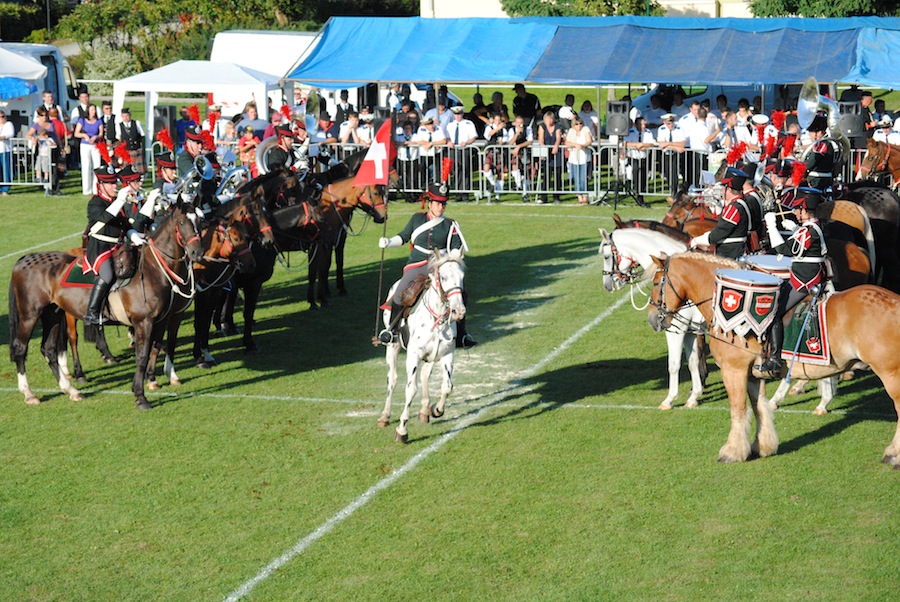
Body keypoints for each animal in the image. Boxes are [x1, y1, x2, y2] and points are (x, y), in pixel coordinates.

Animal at [7, 205, 204, 408]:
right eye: (182, 222)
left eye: (200, 220)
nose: (197, 252)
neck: (153, 270)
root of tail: (25, 258)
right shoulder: (144, 322)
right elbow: (142, 356)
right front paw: (140, 396)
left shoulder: (161, 320)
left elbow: (155, 348)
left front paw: (151, 382)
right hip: (30, 315)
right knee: (20, 348)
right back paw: (29, 393)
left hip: (52, 314)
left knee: (48, 349)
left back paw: (71, 390)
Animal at [376, 248, 468, 440]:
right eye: (443, 277)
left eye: (462, 276)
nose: (459, 311)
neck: (436, 317)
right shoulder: (414, 355)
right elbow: (411, 389)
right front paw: (402, 430)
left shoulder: (447, 354)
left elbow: (447, 386)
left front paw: (437, 409)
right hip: (393, 347)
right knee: (392, 379)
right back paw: (385, 416)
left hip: (431, 356)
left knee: (425, 375)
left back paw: (425, 410)